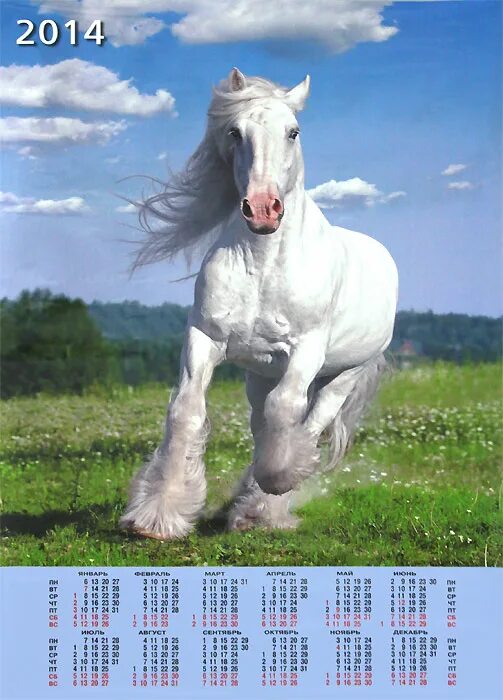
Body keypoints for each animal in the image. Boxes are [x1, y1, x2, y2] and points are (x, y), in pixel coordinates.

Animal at [120, 68, 398, 540]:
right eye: (235, 132)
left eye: (293, 132)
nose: (264, 210)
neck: (264, 266)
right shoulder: (204, 338)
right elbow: (186, 412)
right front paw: (157, 517)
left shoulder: (306, 350)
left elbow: (287, 414)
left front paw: (277, 485)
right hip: (259, 375)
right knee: (265, 425)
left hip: (343, 374)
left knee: (311, 422)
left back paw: (263, 507)